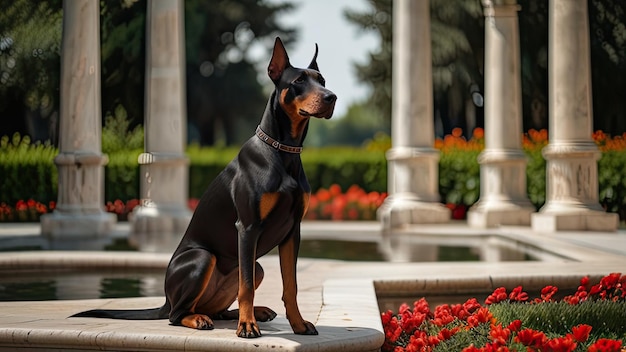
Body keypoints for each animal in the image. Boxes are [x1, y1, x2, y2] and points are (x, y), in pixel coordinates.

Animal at [70, 36, 334, 338]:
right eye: (299, 81)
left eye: (322, 80)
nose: (331, 97)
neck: (283, 150)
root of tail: (165, 298)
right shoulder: (248, 228)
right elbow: (245, 288)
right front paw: (246, 327)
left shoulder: (292, 231)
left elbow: (291, 285)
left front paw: (298, 324)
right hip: (202, 258)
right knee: (176, 314)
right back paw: (203, 319)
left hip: (254, 266)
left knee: (217, 308)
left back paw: (253, 312)